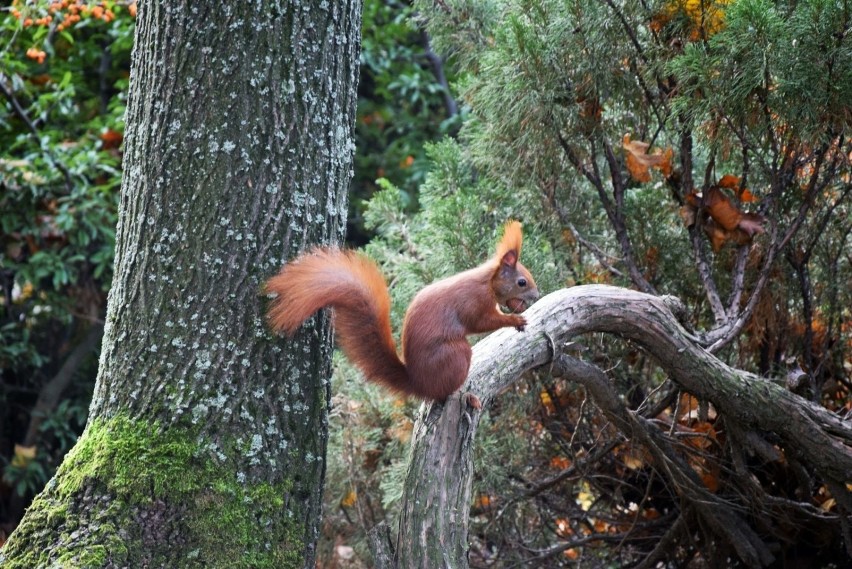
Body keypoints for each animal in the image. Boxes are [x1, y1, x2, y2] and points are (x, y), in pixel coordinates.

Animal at [264, 220, 540, 406]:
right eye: (522, 282)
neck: (487, 282)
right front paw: (513, 319)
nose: (536, 296)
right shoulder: (474, 303)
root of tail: (418, 383)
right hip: (456, 354)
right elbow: (482, 322)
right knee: (441, 394)